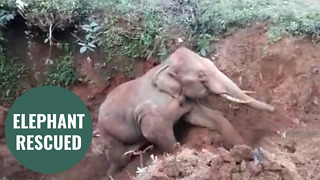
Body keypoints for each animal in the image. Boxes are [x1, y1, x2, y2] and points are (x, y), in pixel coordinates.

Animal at [98, 46, 276, 176]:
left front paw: (243, 149)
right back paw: (113, 173)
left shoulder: (187, 101)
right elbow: (154, 133)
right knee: (118, 159)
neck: (165, 65)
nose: (274, 108)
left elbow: (207, 117)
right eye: (202, 76)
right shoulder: (152, 113)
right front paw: (179, 157)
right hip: (110, 136)